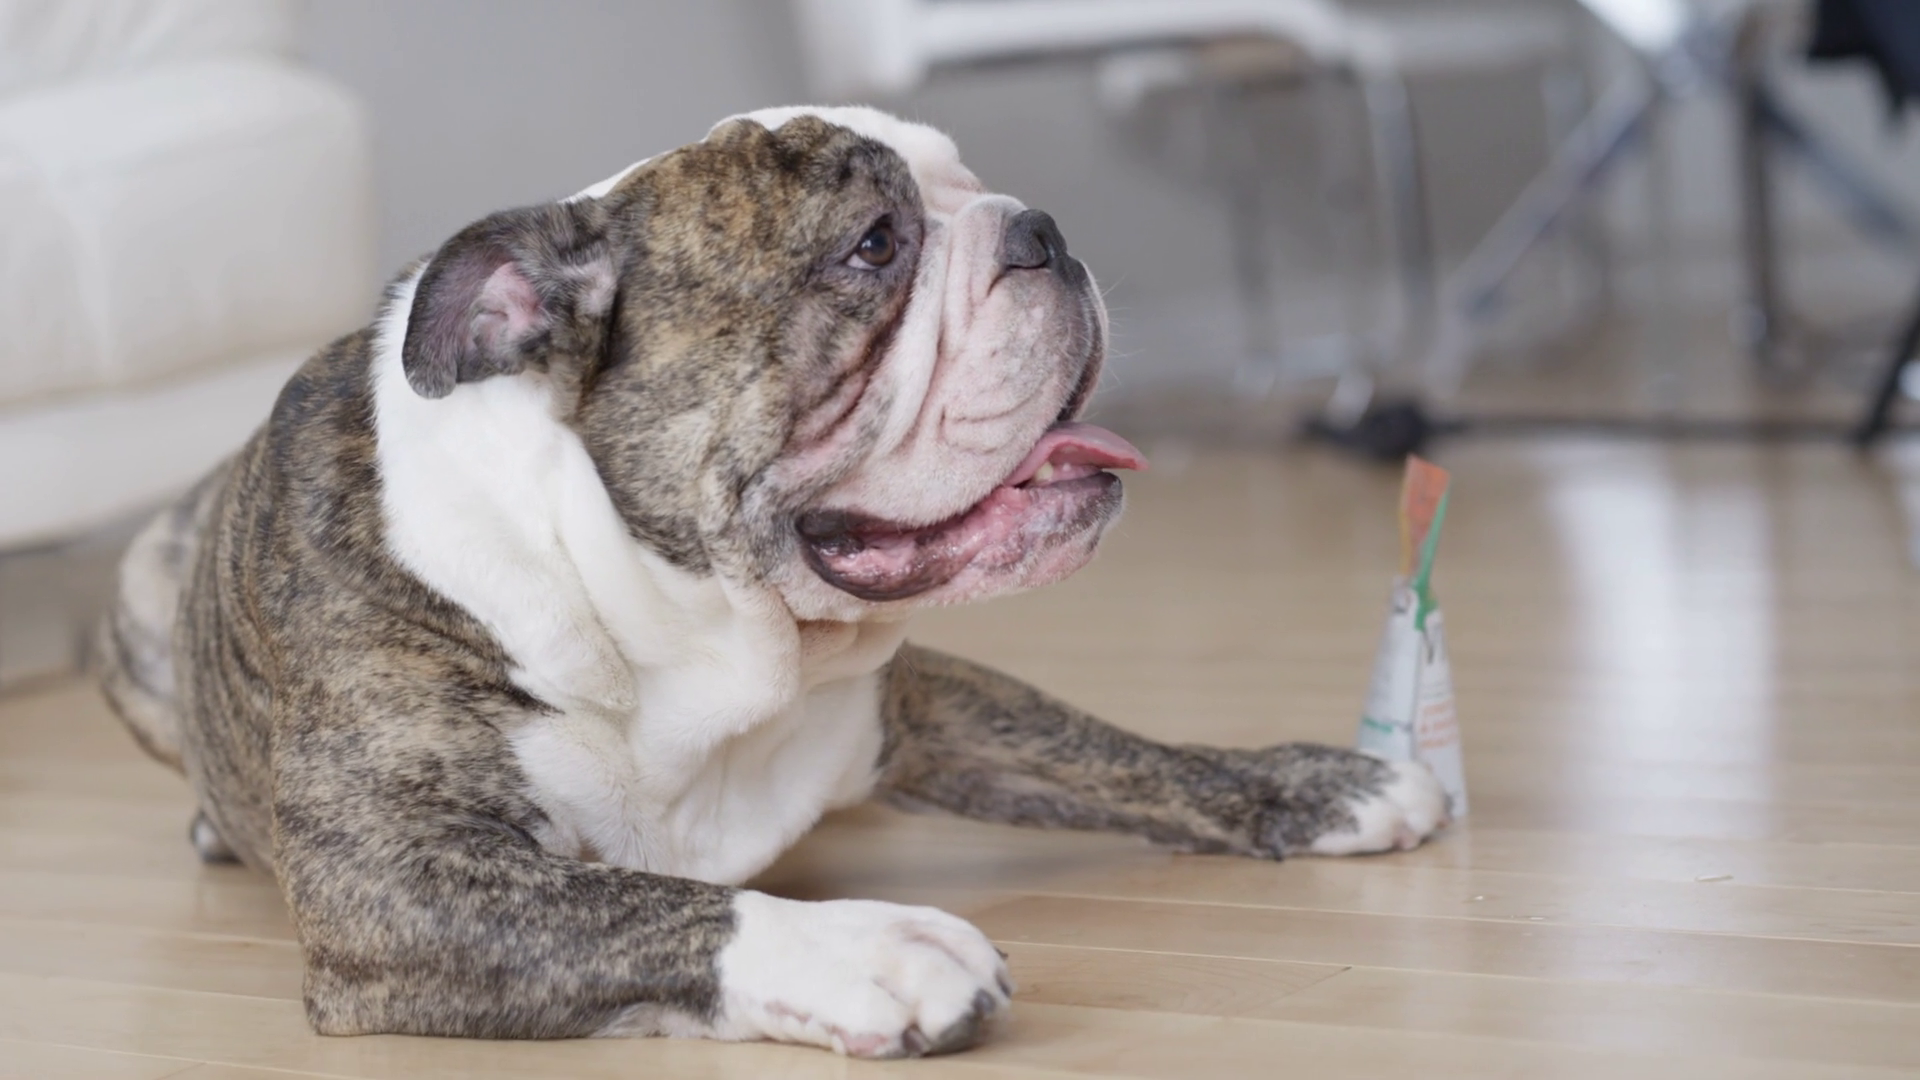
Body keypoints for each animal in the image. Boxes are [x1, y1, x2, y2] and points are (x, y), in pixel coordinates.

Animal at [96, 106, 1448, 1059]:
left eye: (968, 186)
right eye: (874, 245)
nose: (1042, 230)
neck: (672, 630)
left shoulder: (922, 697)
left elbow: (1112, 749)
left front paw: (1312, 781)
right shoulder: (395, 885)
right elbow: (667, 907)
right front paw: (871, 949)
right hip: (133, 600)